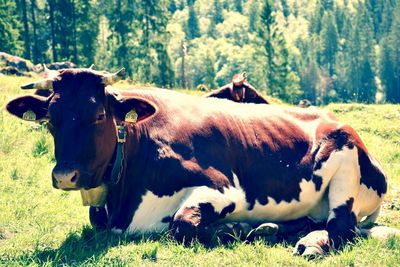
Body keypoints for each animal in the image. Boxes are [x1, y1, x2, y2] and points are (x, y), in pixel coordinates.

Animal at [4, 68, 390, 258]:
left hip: (345, 164)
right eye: (50, 119)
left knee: (341, 226)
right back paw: (275, 228)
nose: (65, 175)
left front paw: (232, 228)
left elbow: (182, 224)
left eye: (99, 115)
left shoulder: (224, 188)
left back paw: (308, 241)